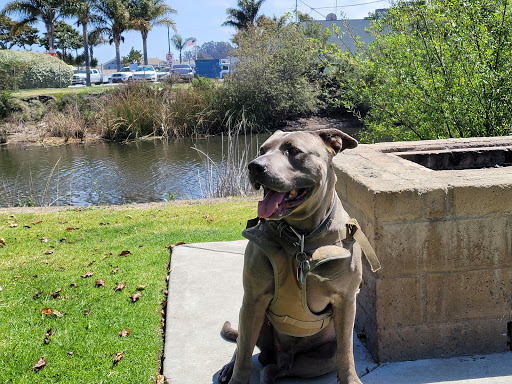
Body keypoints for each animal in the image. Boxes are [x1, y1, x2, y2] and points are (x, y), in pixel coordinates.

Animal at [218, 130, 378, 384]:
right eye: (262, 150)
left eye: (293, 150)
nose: (254, 166)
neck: (300, 235)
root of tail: (281, 355)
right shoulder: (252, 298)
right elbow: (243, 354)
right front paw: (237, 377)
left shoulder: (345, 300)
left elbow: (346, 352)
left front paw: (351, 379)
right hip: (255, 318)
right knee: (245, 346)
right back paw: (230, 368)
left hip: (321, 357)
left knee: (280, 368)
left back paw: (271, 371)